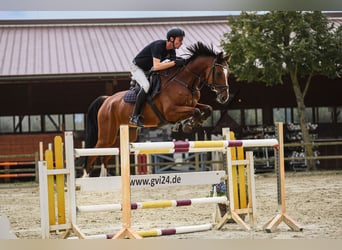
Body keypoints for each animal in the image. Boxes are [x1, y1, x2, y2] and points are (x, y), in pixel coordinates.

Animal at [82, 42, 230, 177]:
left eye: (228, 73)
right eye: (218, 73)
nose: (224, 97)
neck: (185, 82)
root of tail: (107, 100)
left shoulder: (192, 104)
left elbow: (207, 109)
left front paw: (190, 123)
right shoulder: (171, 112)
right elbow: (196, 111)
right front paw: (187, 125)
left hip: (123, 134)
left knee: (106, 155)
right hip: (106, 135)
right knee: (93, 153)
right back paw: (85, 178)